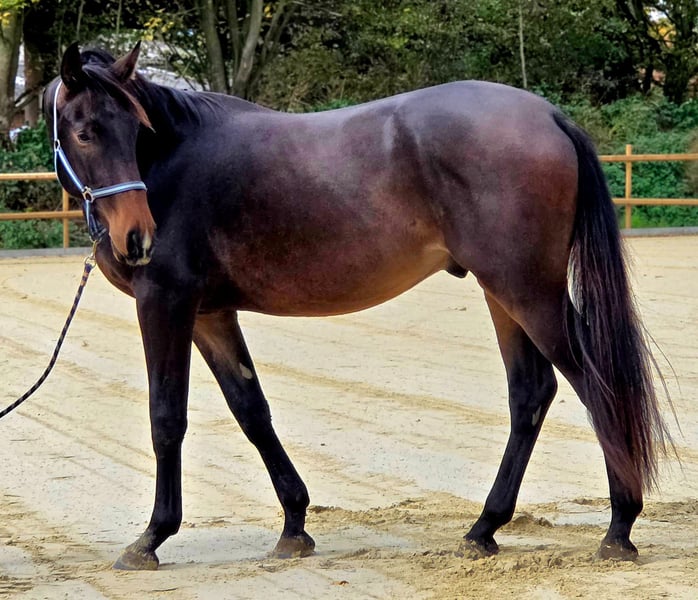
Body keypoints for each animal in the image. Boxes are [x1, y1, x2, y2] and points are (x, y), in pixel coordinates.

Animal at [42, 42, 670, 571]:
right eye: (85, 131)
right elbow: (252, 412)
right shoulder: (209, 315)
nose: (137, 238)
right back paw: (483, 529)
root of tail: (548, 116)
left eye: (134, 127)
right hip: (503, 294)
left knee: (594, 382)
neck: (172, 158)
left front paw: (151, 538)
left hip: (528, 291)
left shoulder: (167, 302)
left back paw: (618, 529)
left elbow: (166, 417)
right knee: (531, 393)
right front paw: (294, 526)